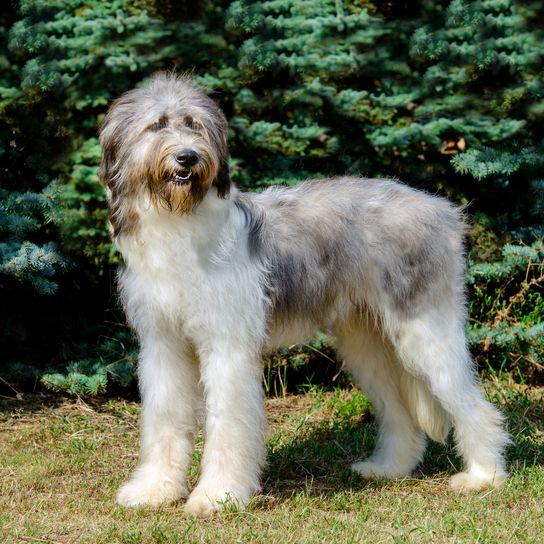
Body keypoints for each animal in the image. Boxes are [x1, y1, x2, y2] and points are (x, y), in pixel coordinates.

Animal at [99, 74, 510, 516]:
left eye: (194, 125)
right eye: (157, 126)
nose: (187, 158)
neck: (178, 223)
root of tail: (441, 210)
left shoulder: (227, 346)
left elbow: (228, 424)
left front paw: (218, 496)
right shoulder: (164, 345)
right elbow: (164, 419)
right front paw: (154, 489)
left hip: (426, 328)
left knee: (472, 403)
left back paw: (483, 475)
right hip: (367, 343)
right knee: (400, 412)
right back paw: (388, 468)